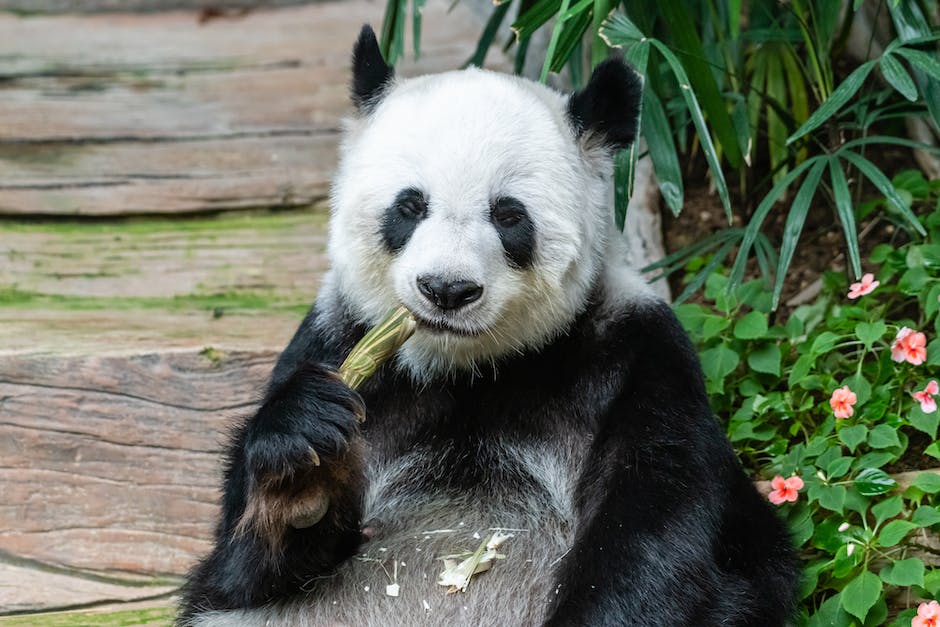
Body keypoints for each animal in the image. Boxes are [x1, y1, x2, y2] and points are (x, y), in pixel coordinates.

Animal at [178, 24, 800, 627]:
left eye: (508, 215)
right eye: (410, 206)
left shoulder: (637, 355)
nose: (447, 290)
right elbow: (239, 567)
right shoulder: (339, 338)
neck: (468, 368)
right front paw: (303, 475)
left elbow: (655, 536)